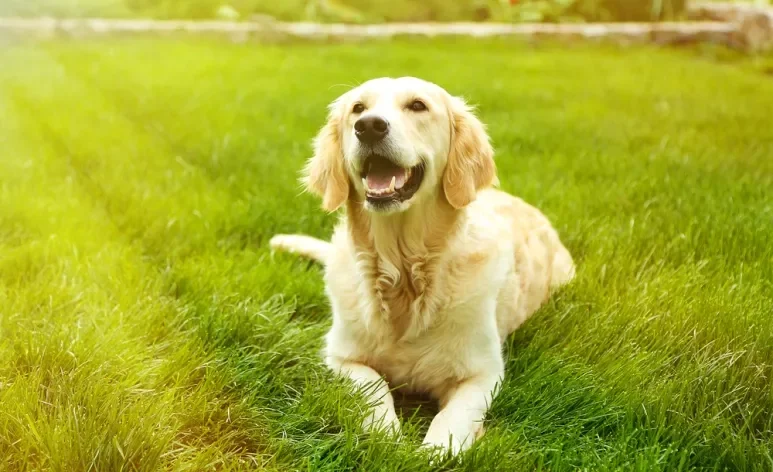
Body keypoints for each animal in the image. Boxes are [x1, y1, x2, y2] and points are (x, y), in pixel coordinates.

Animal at [270, 76, 572, 454]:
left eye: (417, 105)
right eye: (358, 108)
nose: (368, 126)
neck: (404, 273)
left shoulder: (483, 373)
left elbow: (451, 420)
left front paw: (433, 452)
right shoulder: (341, 357)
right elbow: (374, 388)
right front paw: (387, 437)